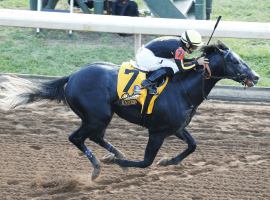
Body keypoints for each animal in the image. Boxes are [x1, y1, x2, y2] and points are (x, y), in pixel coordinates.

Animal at [0, 41, 260, 180]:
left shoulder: (175, 127)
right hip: (97, 116)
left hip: (100, 117)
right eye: (235, 61)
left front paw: (167, 161)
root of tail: (72, 76)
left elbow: (193, 145)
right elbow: (145, 162)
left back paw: (114, 155)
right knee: (77, 138)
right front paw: (119, 163)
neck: (183, 87)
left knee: (95, 137)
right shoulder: (157, 132)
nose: (256, 76)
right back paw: (99, 166)